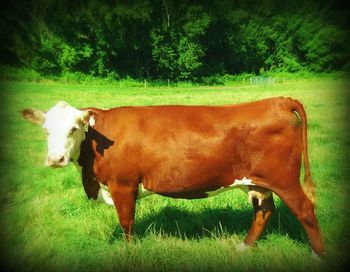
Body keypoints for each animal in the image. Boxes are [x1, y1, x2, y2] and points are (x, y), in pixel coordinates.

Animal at [22, 98, 326, 258]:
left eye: (74, 129)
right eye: (46, 131)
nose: (55, 159)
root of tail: (278, 100)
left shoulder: (123, 185)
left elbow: (126, 222)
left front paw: (130, 252)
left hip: (284, 179)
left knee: (305, 209)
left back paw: (317, 254)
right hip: (257, 182)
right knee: (264, 211)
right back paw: (243, 246)